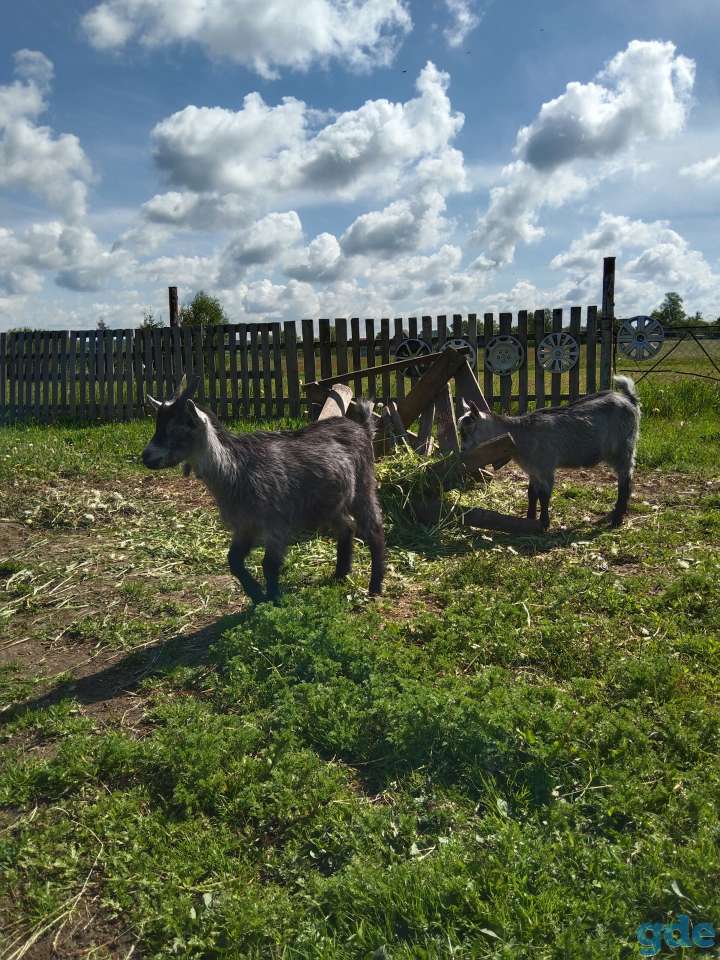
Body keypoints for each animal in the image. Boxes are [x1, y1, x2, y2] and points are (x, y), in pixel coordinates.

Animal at [142, 378, 385, 602]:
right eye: (157, 424)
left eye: (178, 427)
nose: (146, 456)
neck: (237, 469)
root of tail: (362, 428)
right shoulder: (245, 526)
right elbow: (233, 561)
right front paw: (257, 595)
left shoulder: (276, 523)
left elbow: (269, 565)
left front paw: (274, 600)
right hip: (329, 504)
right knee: (347, 527)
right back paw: (340, 574)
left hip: (363, 486)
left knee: (374, 529)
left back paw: (374, 587)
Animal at [458, 376, 640, 529]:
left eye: (467, 431)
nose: (462, 451)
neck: (521, 435)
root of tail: (629, 399)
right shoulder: (533, 471)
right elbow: (532, 494)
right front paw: (529, 518)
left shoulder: (546, 468)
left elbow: (544, 496)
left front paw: (544, 523)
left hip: (623, 449)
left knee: (625, 480)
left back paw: (617, 518)